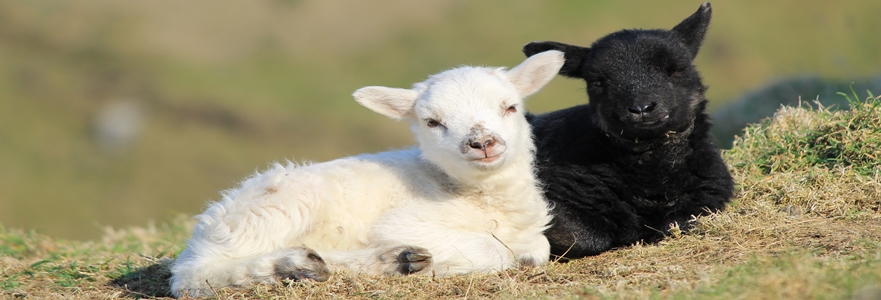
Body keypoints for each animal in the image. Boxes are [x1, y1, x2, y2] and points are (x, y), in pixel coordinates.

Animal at [168, 50, 564, 296]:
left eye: (510, 107)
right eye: (432, 122)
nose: (482, 143)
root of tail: (210, 224)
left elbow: (539, 248)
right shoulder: (405, 221)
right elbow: (494, 249)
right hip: (275, 209)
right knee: (195, 274)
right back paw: (293, 267)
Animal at [524, 2, 736, 258]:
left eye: (676, 69)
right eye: (597, 82)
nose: (641, 108)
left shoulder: (708, 195)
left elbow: (679, 222)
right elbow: (583, 236)